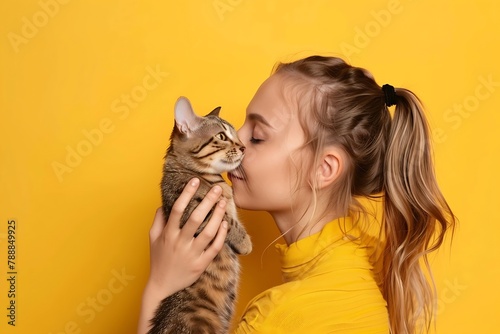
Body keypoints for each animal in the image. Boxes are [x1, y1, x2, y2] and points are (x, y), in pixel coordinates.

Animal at [147, 96, 250, 334]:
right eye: (221, 136)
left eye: (236, 135)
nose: (243, 146)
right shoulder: (196, 209)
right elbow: (227, 221)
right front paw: (244, 242)